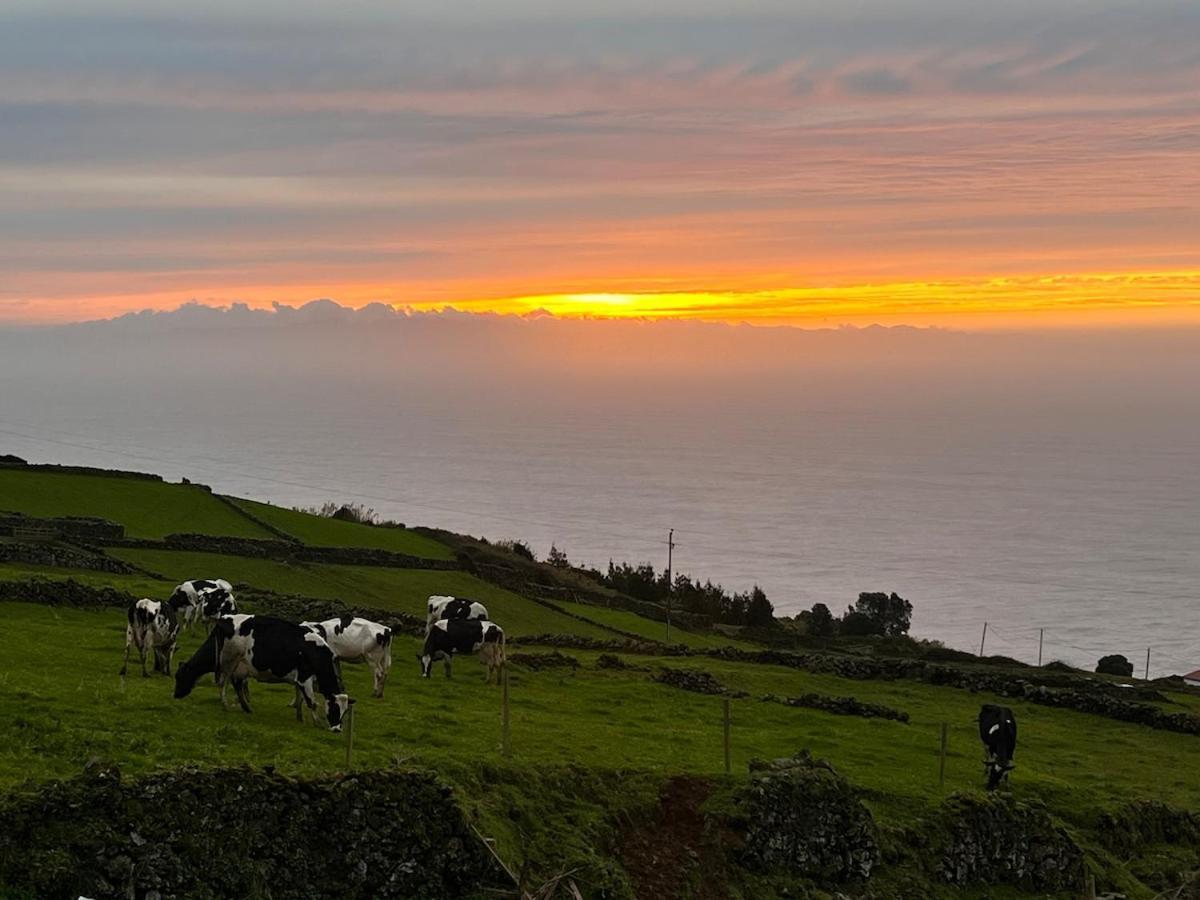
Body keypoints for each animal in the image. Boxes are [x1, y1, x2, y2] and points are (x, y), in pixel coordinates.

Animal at [174, 614, 350, 734]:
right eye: (335, 709)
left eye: (344, 712)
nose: (337, 729)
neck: (316, 653)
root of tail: (224, 620)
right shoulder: (304, 677)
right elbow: (311, 702)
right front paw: (317, 722)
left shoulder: (304, 679)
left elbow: (301, 698)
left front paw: (300, 717)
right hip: (229, 662)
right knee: (224, 683)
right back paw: (226, 704)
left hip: (238, 666)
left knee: (236, 685)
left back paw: (246, 707)